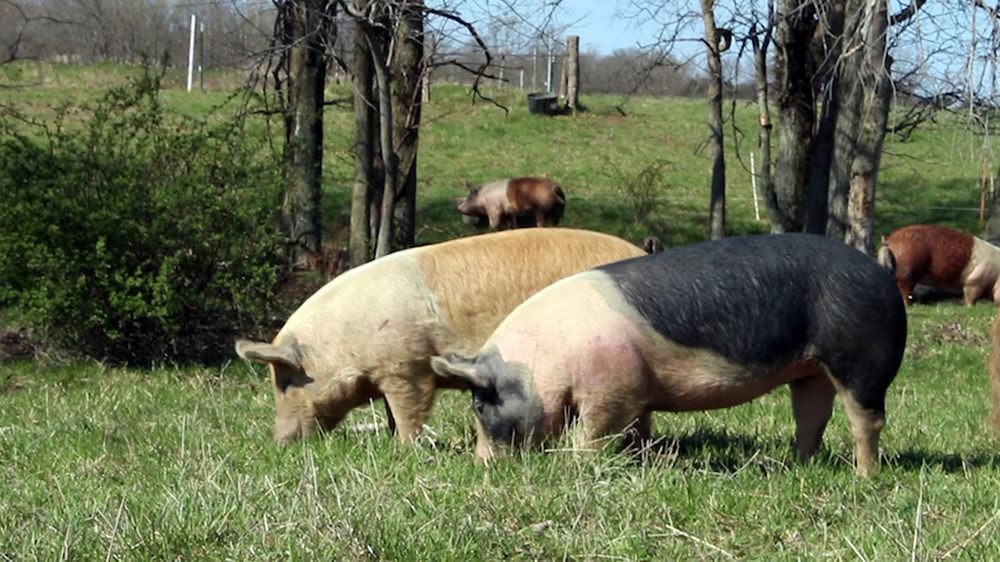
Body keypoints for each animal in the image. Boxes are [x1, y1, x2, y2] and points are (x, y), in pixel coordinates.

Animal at [430, 232, 908, 472]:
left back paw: (864, 476)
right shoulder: (637, 387)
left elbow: (595, 432)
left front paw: (577, 466)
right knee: (812, 417)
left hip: (862, 359)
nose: (482, 464)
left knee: (867, 420)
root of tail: (881, 272)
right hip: (810, 370)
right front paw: (638, 459)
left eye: (480, 404)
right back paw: (799, 467)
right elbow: (639, 427)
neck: (544, 359)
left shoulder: (612, 388)